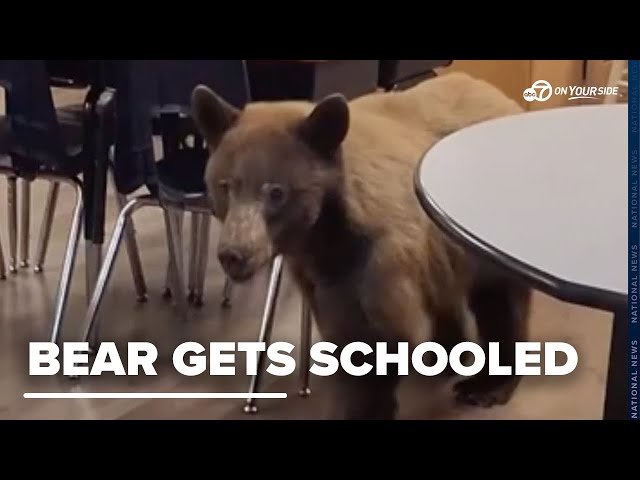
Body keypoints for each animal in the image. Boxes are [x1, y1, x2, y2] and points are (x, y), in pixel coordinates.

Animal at [192, 72, 532, 420]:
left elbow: (377, 337)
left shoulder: (379, 257)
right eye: (225, 186)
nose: (234, 254)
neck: (326, 234)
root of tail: (501, 97)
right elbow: (340, 332)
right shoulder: (316, 274)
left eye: (276, 192)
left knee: (500, 300)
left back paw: (485, 386)